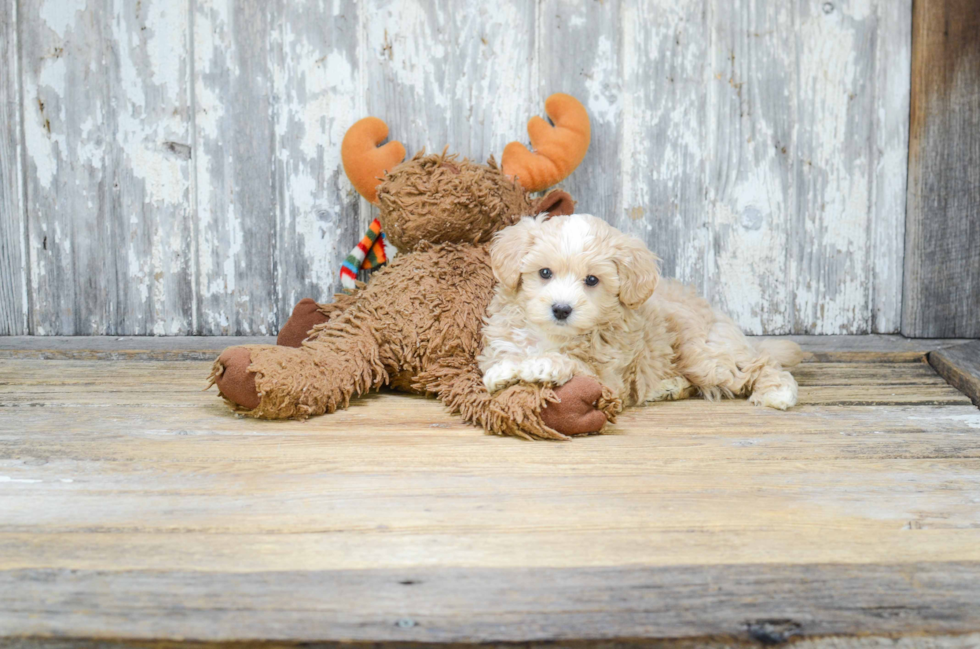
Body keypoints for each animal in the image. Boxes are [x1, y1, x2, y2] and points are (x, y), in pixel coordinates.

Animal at [476, 215, 804, 412]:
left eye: (592, 280)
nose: (561, 309)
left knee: (760, 364)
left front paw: (542, 365)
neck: (554, 336)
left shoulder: (609, 379)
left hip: (703, 355)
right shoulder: (501, 343)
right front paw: (505, 372)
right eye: (544, 273)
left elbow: (575, 364)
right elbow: (503, 361)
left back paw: (778, 392)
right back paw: (668, 386)